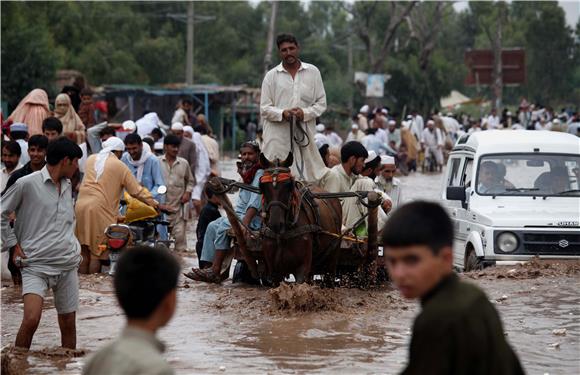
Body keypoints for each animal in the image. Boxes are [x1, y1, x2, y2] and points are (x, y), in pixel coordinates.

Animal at [260, 153, 344, 284]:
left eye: (289, 185)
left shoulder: (302, 268)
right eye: (262, 186)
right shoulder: (274, 271)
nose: (275, 224)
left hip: (333, 255)